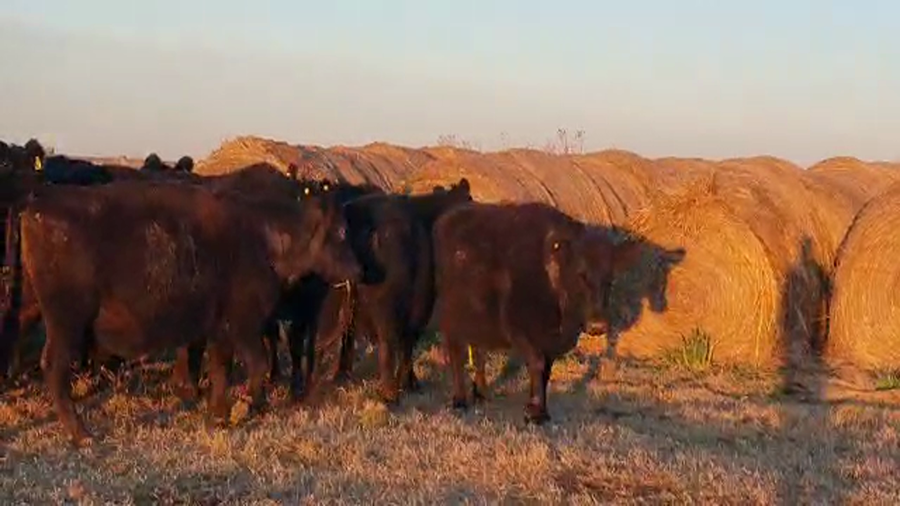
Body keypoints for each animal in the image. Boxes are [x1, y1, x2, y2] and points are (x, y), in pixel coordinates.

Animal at [1, 180, 361, 446]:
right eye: (341, 232)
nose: (359, 269)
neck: (266, 235)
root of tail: (35, 205)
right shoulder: (244, 325)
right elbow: (255, 364)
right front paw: (242, 409)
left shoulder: (220, 329)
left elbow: (221, 369)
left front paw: (218, 415)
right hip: (66, 322)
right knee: (54, 366)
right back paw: (81, 434)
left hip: (31, 308)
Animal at [431, 201, 646, 424]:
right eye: (581, 274)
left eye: (609, 279)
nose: (597, 326)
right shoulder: (520, 330)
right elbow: (537, 363)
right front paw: (535, 411)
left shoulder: (549, 342)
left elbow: (546, 372)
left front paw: (541, 409)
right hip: (451, 320)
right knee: (456, 354)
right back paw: (459, 399)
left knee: (478, 350)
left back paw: (481, 392)